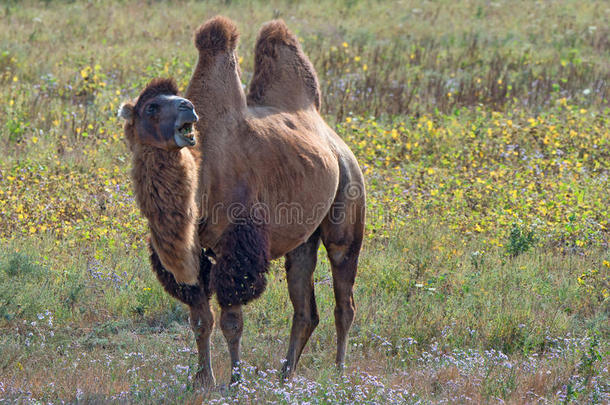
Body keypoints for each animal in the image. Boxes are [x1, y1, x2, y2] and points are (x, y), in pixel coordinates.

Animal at [119, 16, 366, 388]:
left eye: (180, 98)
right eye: (152, 106)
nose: (188, 108)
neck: (202, 179)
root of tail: (330, 134)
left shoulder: (237, 246)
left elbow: (231, 322)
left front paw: (235, 381)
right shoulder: (194, 256)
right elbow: (200, 320)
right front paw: (202, 379)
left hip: (348, 194)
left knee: (344, 296)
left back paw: (338, 373)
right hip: (302, 237)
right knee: (304, 306)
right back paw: (286, 375)